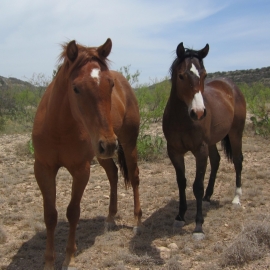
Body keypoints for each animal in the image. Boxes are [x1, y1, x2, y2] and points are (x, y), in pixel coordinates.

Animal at [31, 38, 142, 270]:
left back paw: (137, 221)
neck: (58, 127)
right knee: (113, 174)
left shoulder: (81, 170)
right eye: (76, 88)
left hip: (127, 144)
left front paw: (69, 257)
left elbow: (73, 212)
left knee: (135, 177)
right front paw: (48, 261)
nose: (109, 143)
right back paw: (110, 218)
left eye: (110, 85)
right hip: (102, 154)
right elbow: (50, 215)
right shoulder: (43, 169)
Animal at [162, 42, 247, 240]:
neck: (181, 118)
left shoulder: (200, 150)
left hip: (235, 133)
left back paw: (236, 198)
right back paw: (208, 197)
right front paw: (180, 216)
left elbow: (197, 186)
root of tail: (231, 86)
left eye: (205, 74)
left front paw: (198, 226)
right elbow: (182, 182)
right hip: (212, 142)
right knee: (216, 161)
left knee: (238, 161)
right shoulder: (174, 152)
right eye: (181, 75)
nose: (199, 113)